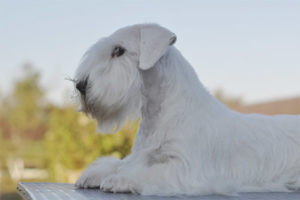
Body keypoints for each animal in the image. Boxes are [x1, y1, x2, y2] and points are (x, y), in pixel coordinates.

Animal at [74, 23, 300, 195]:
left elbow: (149, 172)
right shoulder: (138, 156)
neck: (158, 113)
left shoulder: (184, 167)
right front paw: (92, 175)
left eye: (118, 50)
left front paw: (121, 179)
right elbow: (117, 163)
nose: (80, 85)